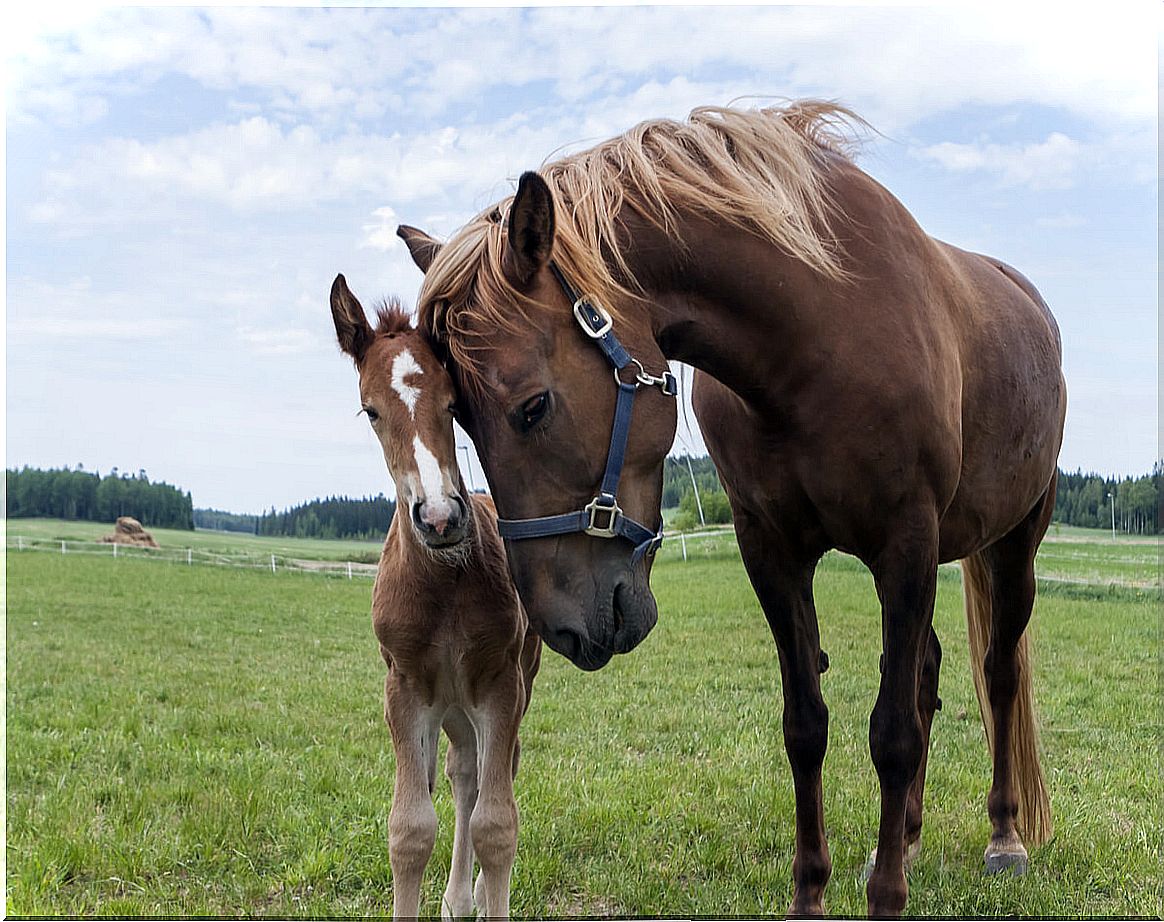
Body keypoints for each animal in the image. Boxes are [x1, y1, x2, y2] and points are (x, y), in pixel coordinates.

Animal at [330, 275, 542, 922]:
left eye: (454, 404)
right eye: (370, 410)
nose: (441, 517)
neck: (444, 584)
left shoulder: (500, 684)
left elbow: (496, 824)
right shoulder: (403, 688)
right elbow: (409, 827)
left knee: (483, 776)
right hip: (448, 704)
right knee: (458, 771)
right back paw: (455, 897)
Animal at [398, 102, 1066, 912]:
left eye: (532, 407)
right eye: (458, 418)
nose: (560, 628)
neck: (822, 330)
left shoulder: (905, 542)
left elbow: (893, 734)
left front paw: (885, 895)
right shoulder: (772, 550)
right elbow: (806, 725)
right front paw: (813, 895)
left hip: (1014, 541)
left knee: (998, 676)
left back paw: (1003, 836)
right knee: (931, 670)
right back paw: (903, 834)